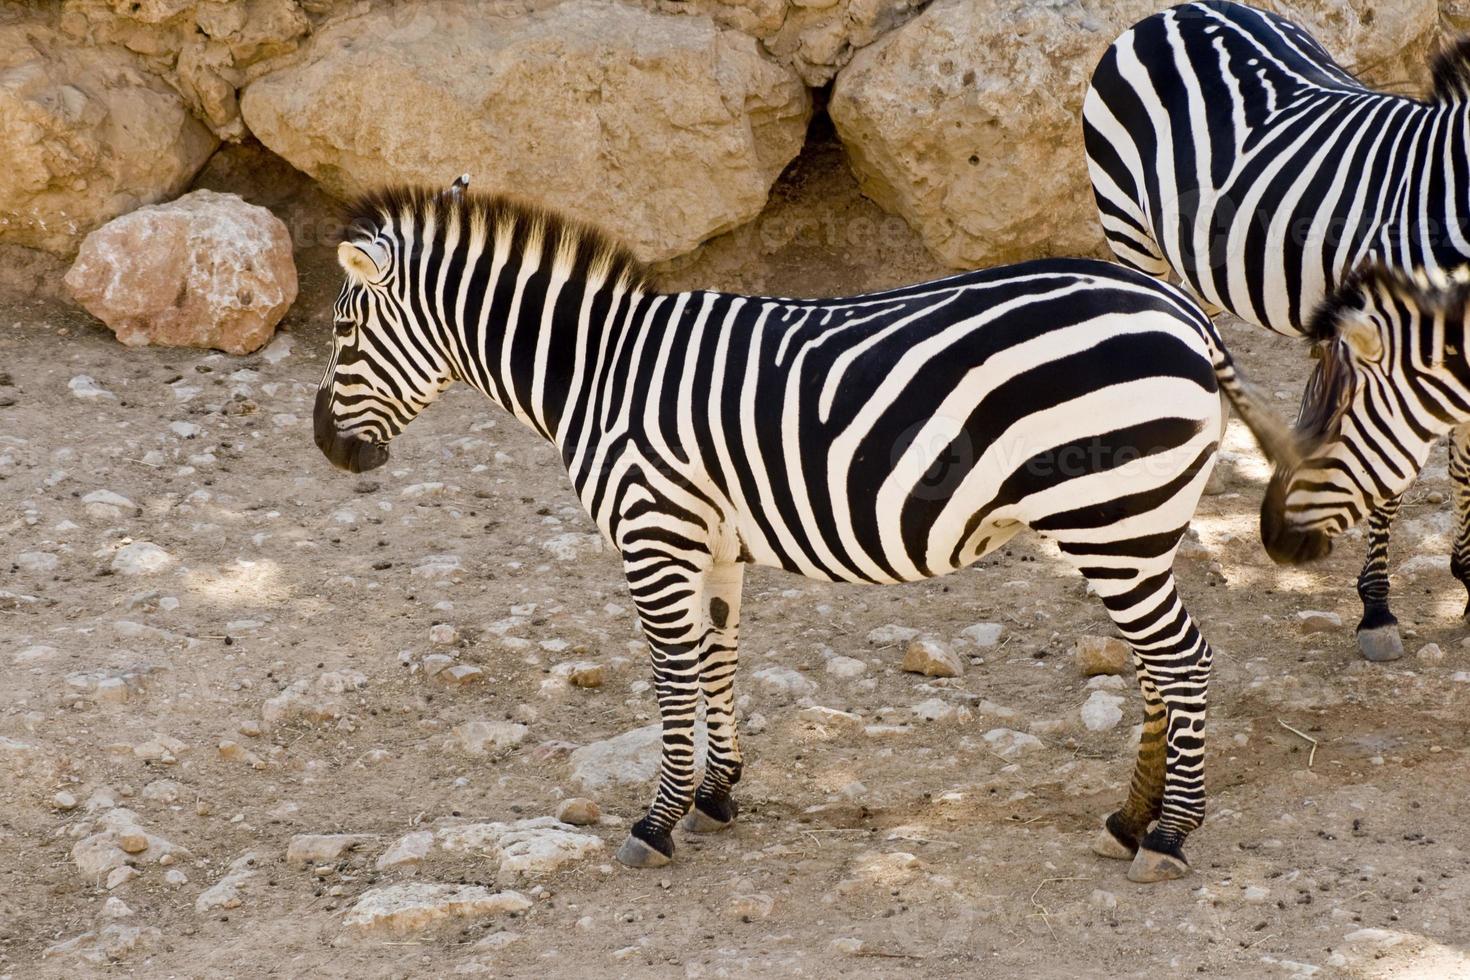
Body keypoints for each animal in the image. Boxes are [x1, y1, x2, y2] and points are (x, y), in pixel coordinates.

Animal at [316, 179, 1293, 887]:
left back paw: (1170, 835)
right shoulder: (711, 542)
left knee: (1185, 660)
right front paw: (717, 794)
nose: (327, 448)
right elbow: (718, 659)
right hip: (1135, 523)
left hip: (1108, 514)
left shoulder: (653, 529)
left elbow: (672, 676)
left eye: (344, 332)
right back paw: (1130, 818)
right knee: (1158, 665)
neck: (597, 371)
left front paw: (658, 820)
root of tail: (1179, 308)